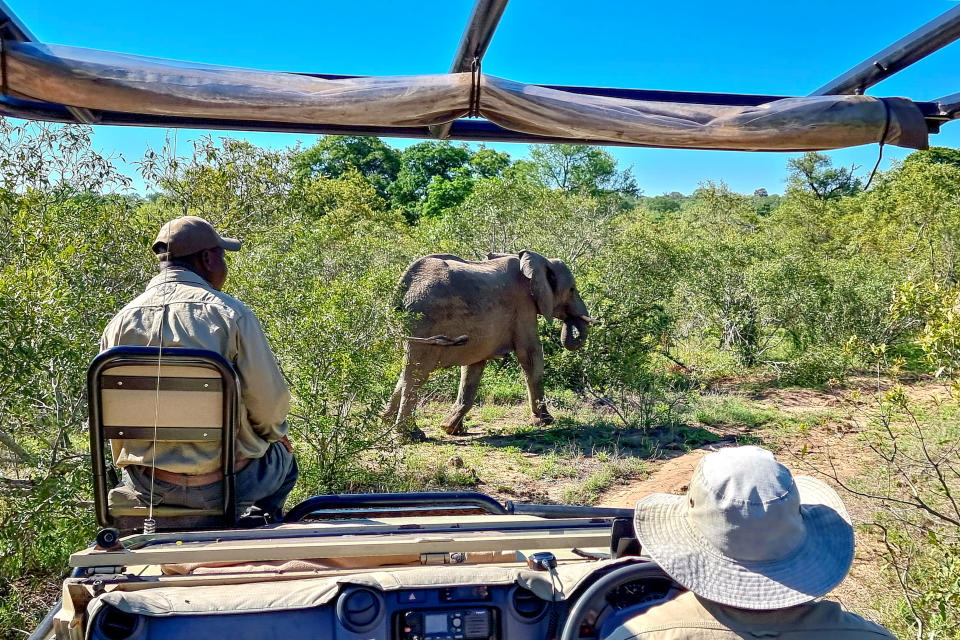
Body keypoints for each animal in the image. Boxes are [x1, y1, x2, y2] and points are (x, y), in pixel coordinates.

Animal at [384, 250, 592, 440]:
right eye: (572, 289)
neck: (537, 261)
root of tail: (401, 290)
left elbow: (473, 367)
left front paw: (451, 429)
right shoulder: (523, 306)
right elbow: (531, 356)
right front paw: (546, 421)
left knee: (407, 372)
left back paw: (386, 422)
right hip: (422, 322)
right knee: (417, 375)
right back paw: (411, 436)